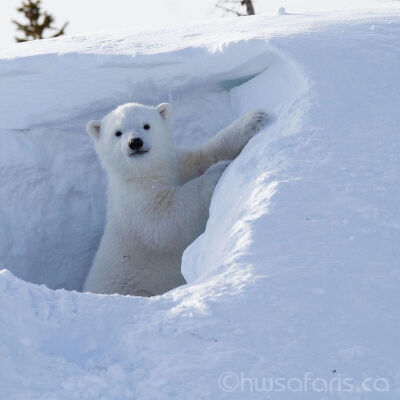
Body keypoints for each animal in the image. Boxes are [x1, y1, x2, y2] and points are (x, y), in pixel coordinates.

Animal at [83, 103, 268, 296]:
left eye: (146, 125)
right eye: (117, 132)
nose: (135, 142)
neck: (145, 172)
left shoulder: (177, 164)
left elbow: (203, 156)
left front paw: (254, 119)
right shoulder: (134, 202)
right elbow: (167, 219)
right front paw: (217, 171)